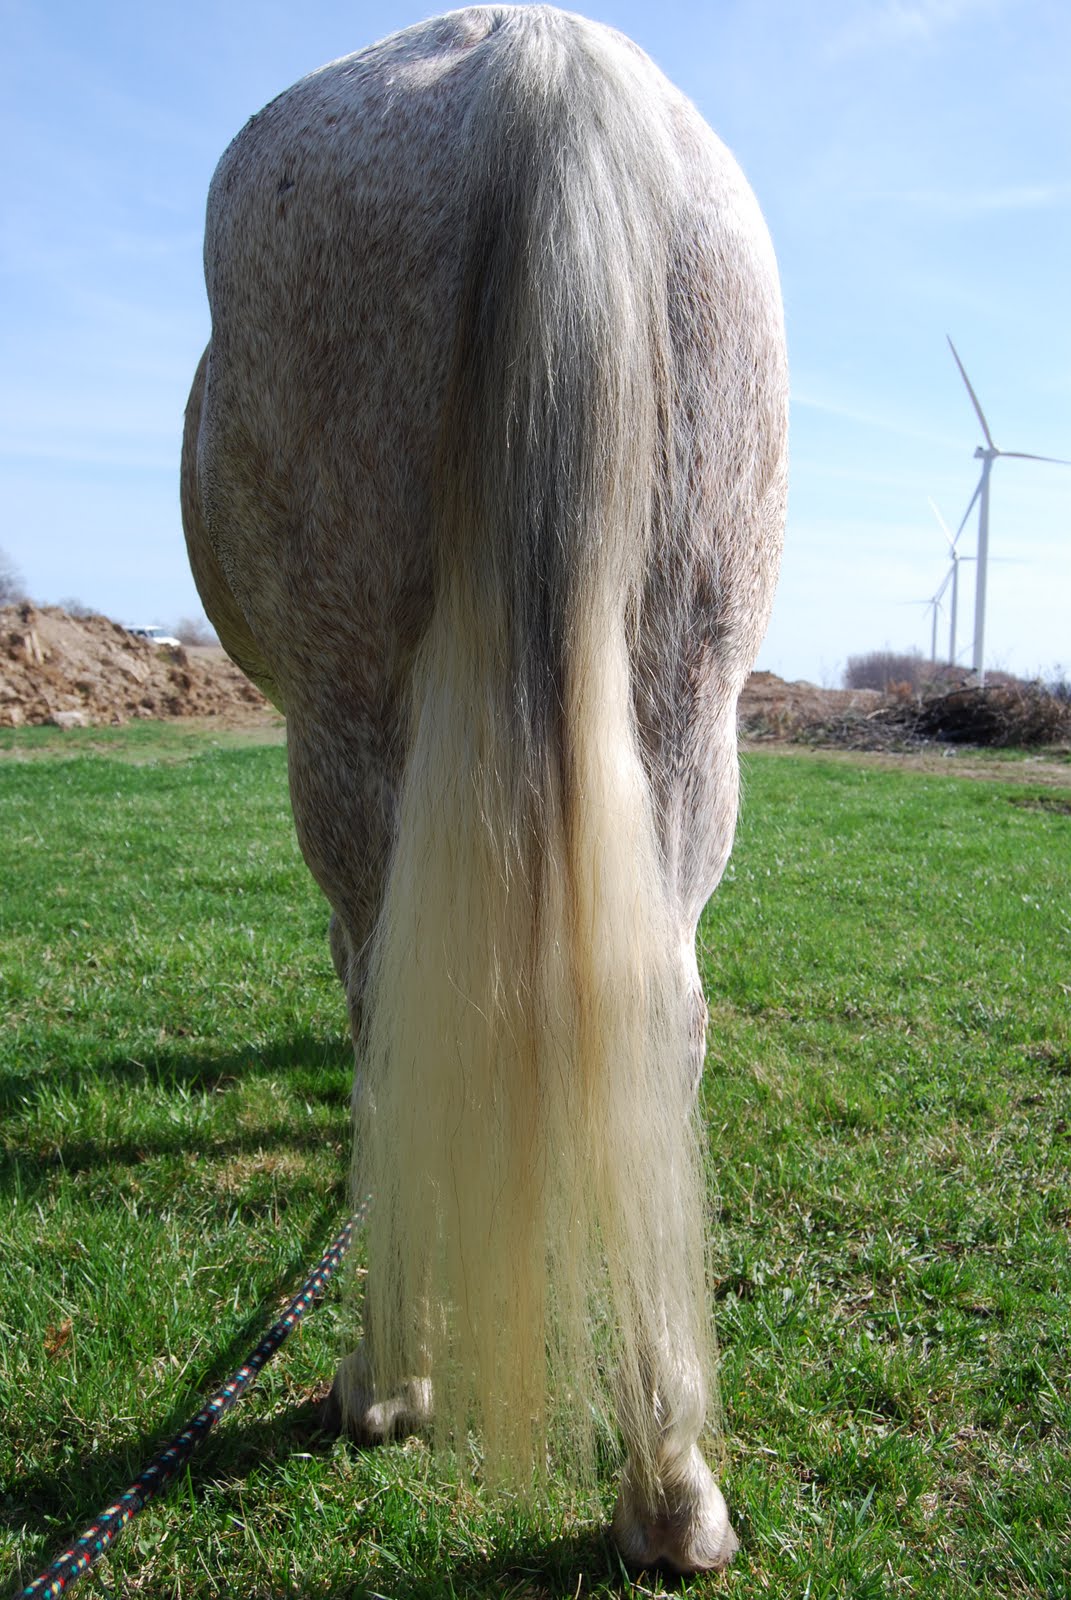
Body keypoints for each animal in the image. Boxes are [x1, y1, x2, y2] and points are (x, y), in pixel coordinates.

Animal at [181, 5, 787, 1572]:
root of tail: (534, 63)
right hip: (683, 713)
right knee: (657, 1019)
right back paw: (669, 1490)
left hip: (345, 734)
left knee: (391, 998)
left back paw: (388, 1380)